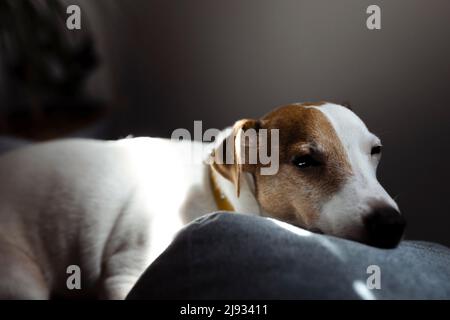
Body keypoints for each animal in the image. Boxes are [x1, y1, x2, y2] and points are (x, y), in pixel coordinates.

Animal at [0, 102, 406, 300]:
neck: (216, 195)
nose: (393, 225)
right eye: (305, 161)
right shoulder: (124, 274)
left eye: (376, 151)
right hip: (22, 278)